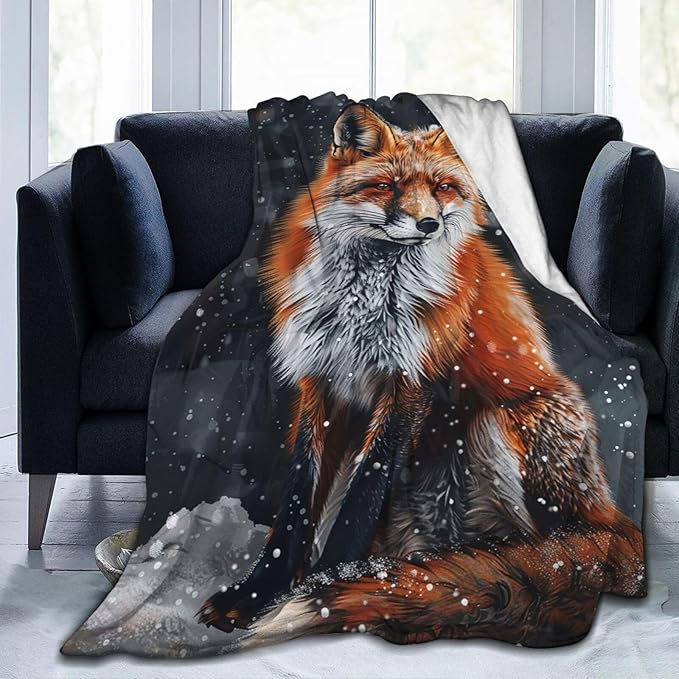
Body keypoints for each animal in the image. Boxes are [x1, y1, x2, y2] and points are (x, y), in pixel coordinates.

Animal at [198, 103, 645, 642]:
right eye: (387, 186)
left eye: (442, 187)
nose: (428, 224)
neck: (364, 304)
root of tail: (614, 521)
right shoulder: (321, 383)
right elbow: (297, 503)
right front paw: (255, 595)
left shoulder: (409, 384)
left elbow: (364, 493)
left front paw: (327, 588)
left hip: (503, 424)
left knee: (543, 561)